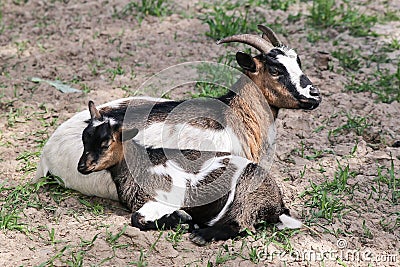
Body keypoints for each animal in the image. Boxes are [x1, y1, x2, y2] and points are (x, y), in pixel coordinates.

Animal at [79, 101, 304, 246]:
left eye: (106, 143)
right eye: (85, 137)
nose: (82, 167)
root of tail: (278, 205)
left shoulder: (165, 197)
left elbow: (137, 219)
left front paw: (182, 219)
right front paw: (183, 219)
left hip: (247, 193)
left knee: (241, 224)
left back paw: (201, 235)